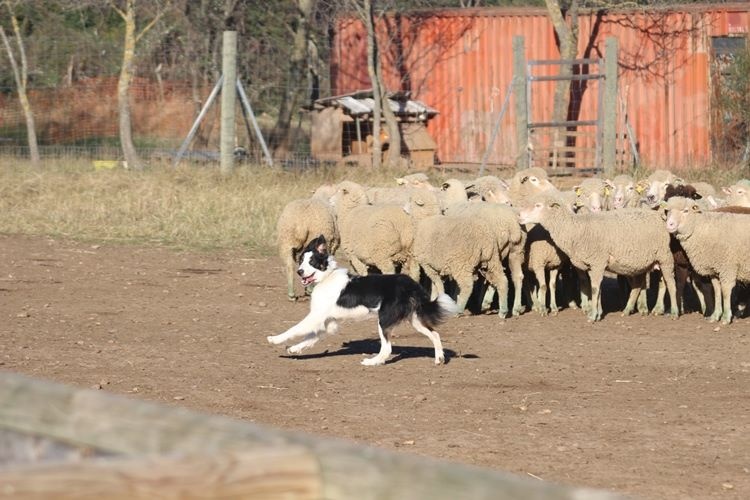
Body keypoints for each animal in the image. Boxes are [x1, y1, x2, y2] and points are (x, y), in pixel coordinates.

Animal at [270, 234, 458, 368]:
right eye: (301, 261)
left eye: (312, 262)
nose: (300, 272)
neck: (326, 277)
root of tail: (411, 285)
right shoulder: (328, 323)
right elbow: (309, 338)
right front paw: (294, 349)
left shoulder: (316, 316)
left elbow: (295, 328)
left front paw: (275, 339)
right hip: (414, 319)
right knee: (435, 334)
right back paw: (439, 359)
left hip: (384, 320)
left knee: (387, 348)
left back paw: (372, 362)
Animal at [520, 197, 680, 322]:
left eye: (538, 205)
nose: (520, 215)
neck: (575, 229)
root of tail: (659, 216)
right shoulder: (593, 265)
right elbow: (596, 289)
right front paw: (597, 312)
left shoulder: (598, 262)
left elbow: (595, 289)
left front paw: (592, 316)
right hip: (640, 263)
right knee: (638, 285)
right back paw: (627, 310)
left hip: (664, 257)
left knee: (671, 284)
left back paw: (674, 312)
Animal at [664, 195, 750, 324]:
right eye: (668, 211)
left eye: (686, 211)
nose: (670, 224)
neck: (702, 229)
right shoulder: (714, 268)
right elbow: (717, 290)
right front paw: (715, 315)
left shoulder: (727, 267)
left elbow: (725, 291)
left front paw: (726, 317)